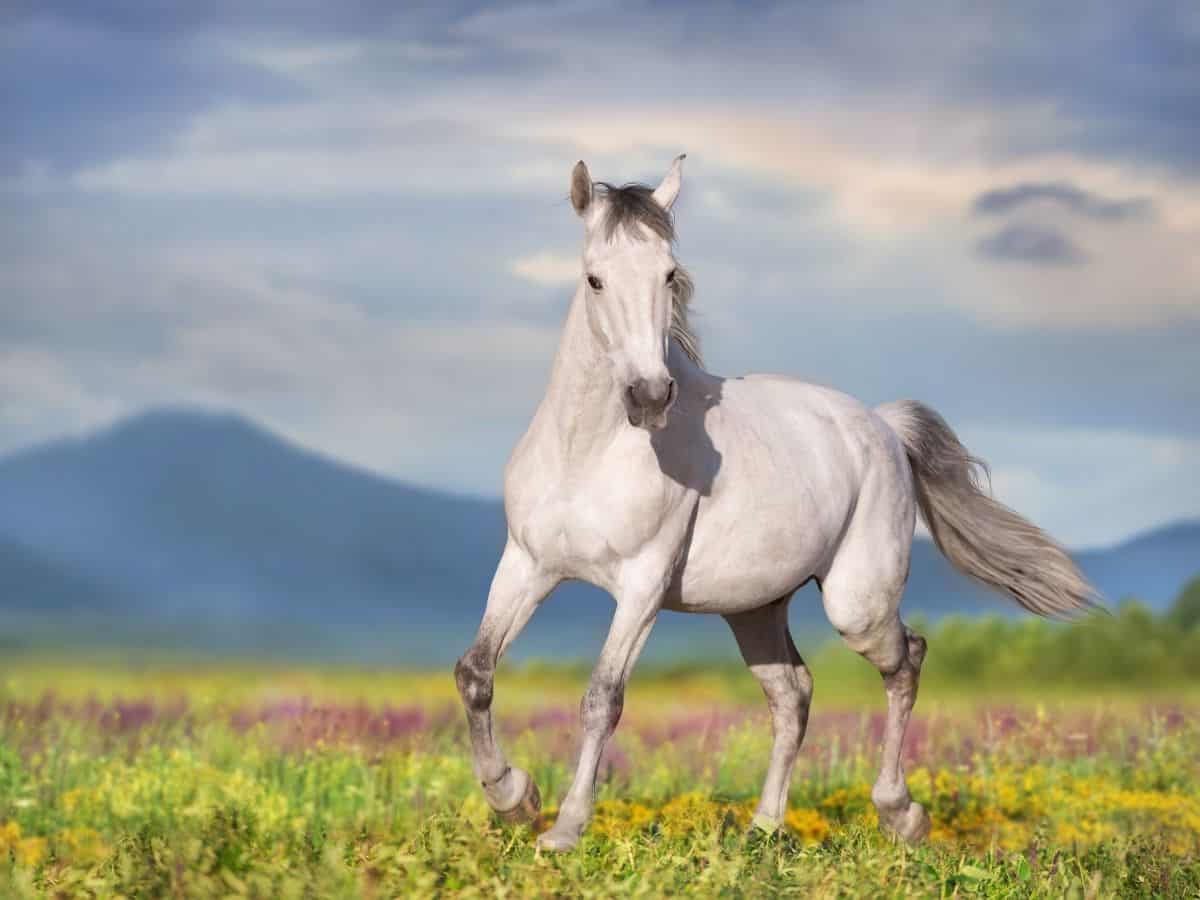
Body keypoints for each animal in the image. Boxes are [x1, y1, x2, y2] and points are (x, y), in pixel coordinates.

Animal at [454, 155, 1096, 852]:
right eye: (594, 278)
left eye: (669, 274)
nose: (650, 396)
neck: (587, 453)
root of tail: (882, 425)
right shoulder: (528, 564)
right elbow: (476, 673)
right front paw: (514, 798)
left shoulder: (642, 586)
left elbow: (603, 698)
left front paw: (563, 830)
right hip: (755, 611)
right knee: (793, 694)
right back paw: (764, 828)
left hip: (856, 605)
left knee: (907, 660)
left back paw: (901, 814)